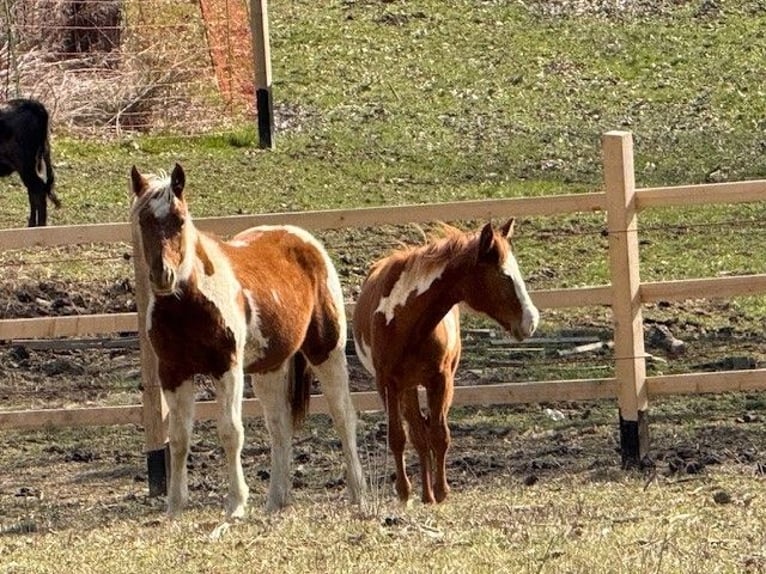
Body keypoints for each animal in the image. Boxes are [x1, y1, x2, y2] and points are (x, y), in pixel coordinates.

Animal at [131, 164, 366, 520]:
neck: (189, 304)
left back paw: (358, 493)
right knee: (279, 427)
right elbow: (180, 437)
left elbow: (231, 431)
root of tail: (304, 240)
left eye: (180, 220)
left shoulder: (227, 367)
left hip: (327, 352)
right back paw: (276, 500)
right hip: (270, 368)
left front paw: (236, 503)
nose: (163, 276)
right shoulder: (173, 372)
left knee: (343, 416)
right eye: (144, 220)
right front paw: (175, 506)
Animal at [354, 220, 540, 504]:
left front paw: (441, 491)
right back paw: (421, 493)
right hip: (406, 388)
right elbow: (398, 437)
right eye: (504, 276)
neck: (406, 321)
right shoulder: (387, 384)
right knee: (417, 434)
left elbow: (439, 435)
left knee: (425, 433)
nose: (532, 321)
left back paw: (429, 494)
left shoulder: (440, 380)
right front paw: (404, 491)